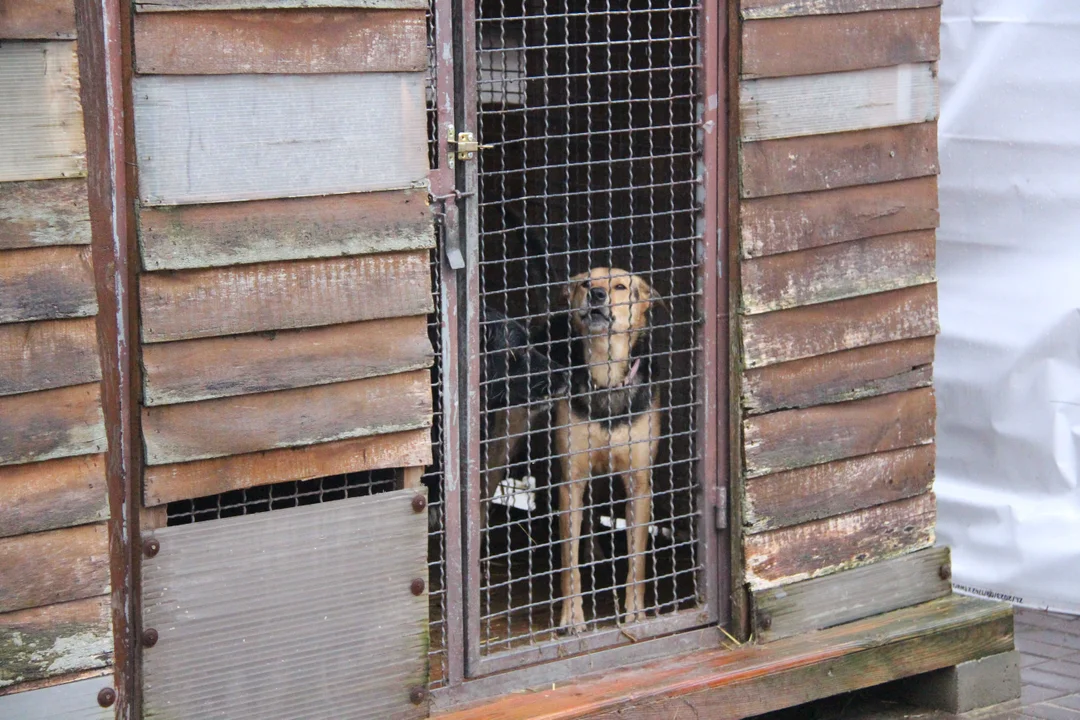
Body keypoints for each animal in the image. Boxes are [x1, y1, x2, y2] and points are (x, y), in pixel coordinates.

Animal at [552, 266, 660, 630]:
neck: (606, 376)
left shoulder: (639, 485)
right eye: (587, 282)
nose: (597, 294)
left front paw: (635, 612)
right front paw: (572, 616)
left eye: (621, 286)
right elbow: (568, 562)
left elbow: (637, 560)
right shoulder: (570, 482)